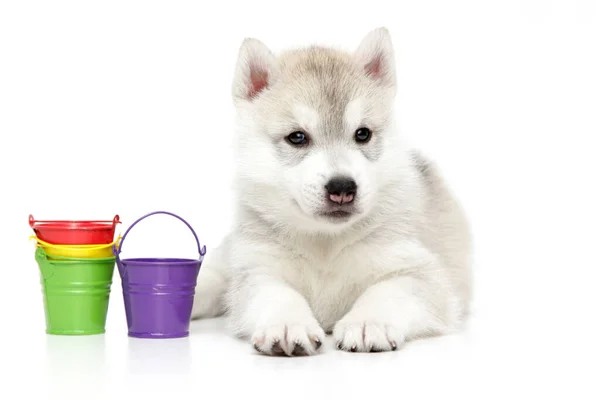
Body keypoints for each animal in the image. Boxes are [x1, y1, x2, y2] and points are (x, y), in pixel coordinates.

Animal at [192, 26, 474, 354]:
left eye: (363, 134)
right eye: (297, 137)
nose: (342, 187)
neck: (326, 244)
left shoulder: (420, 271)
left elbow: (386, 291)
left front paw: (368, 322)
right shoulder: (257, 270)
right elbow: (277, 294)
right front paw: (288, 323)